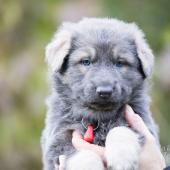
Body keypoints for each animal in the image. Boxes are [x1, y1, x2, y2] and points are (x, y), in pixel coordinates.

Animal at [41, 17, 159, 169]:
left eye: (120, 63)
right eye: (86, 61)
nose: (104, 91)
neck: (99, 118)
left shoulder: (144, 124)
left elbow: (120, 130)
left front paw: (123, 157)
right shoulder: (58, 140)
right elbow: (83, 154)